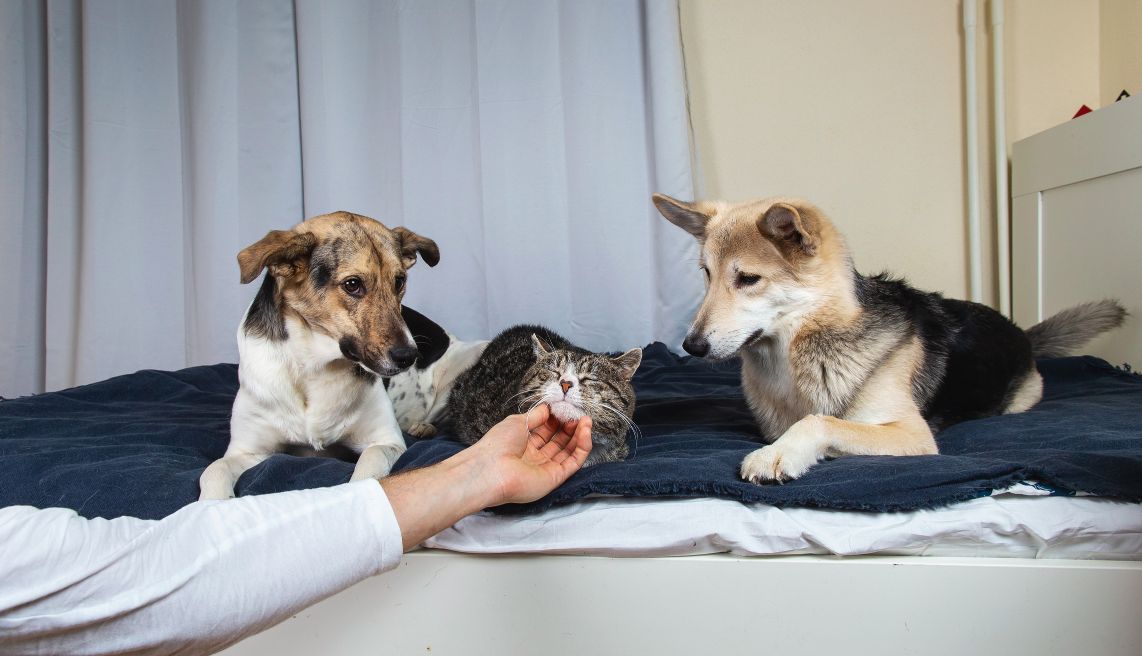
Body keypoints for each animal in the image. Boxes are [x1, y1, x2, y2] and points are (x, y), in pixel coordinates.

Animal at [197, 213, 436, 500]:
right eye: (353, 284)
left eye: (399, 281)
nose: (409, 355)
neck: (315, 365)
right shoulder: (247, 450)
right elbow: (214, 469)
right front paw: (210, 504)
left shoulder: (385, 440)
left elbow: (370, 465)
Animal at [653, 193, 1123, 486]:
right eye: (707, 275)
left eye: (748, 279)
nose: (690, 346)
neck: (797, 352)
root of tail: (1021, 333)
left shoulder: (911, 434)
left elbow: (821, 421)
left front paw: (780, 453)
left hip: (1018, 400)